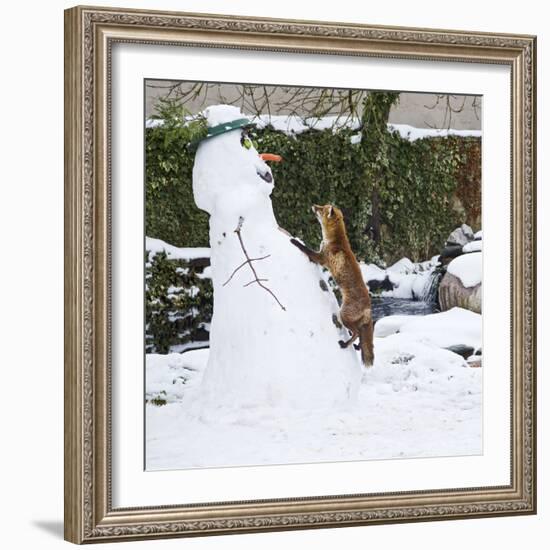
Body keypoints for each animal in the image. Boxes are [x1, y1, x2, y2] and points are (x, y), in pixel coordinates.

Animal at [292, 205, 378, 368]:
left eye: (321, 209)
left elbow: (306, 249)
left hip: (343, 315)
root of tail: (369, 308)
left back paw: (345, 344)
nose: (313, 205)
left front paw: (295, 241)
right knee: (360, 337)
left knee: (357, 333)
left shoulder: (321, 258)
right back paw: (356, 346)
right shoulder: (320, 256)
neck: (335, 240)